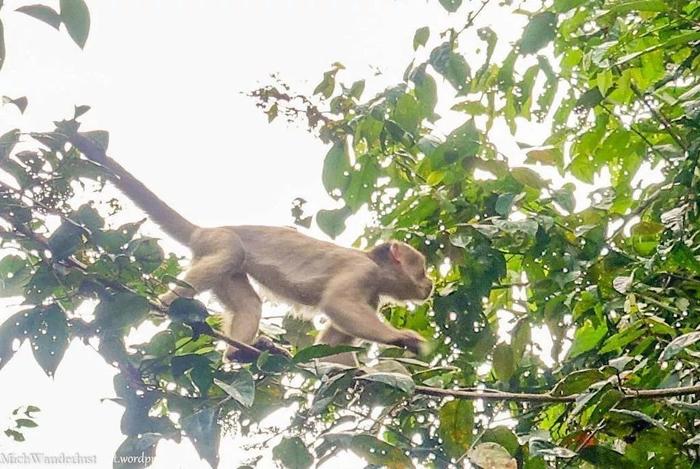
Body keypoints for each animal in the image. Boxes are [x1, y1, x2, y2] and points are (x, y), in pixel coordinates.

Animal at [69, 133, 432, 364]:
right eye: (423, 269)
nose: (429, 283)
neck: (378, 271)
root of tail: (205, 229)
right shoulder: (363, 272)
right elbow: (337, 304)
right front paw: (400, 338)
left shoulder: (372, 293)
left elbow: (330, 345)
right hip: (219, 241)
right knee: (231, 255)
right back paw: (167, 303)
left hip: (223, 266)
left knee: (248, 302)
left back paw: (238, 352)